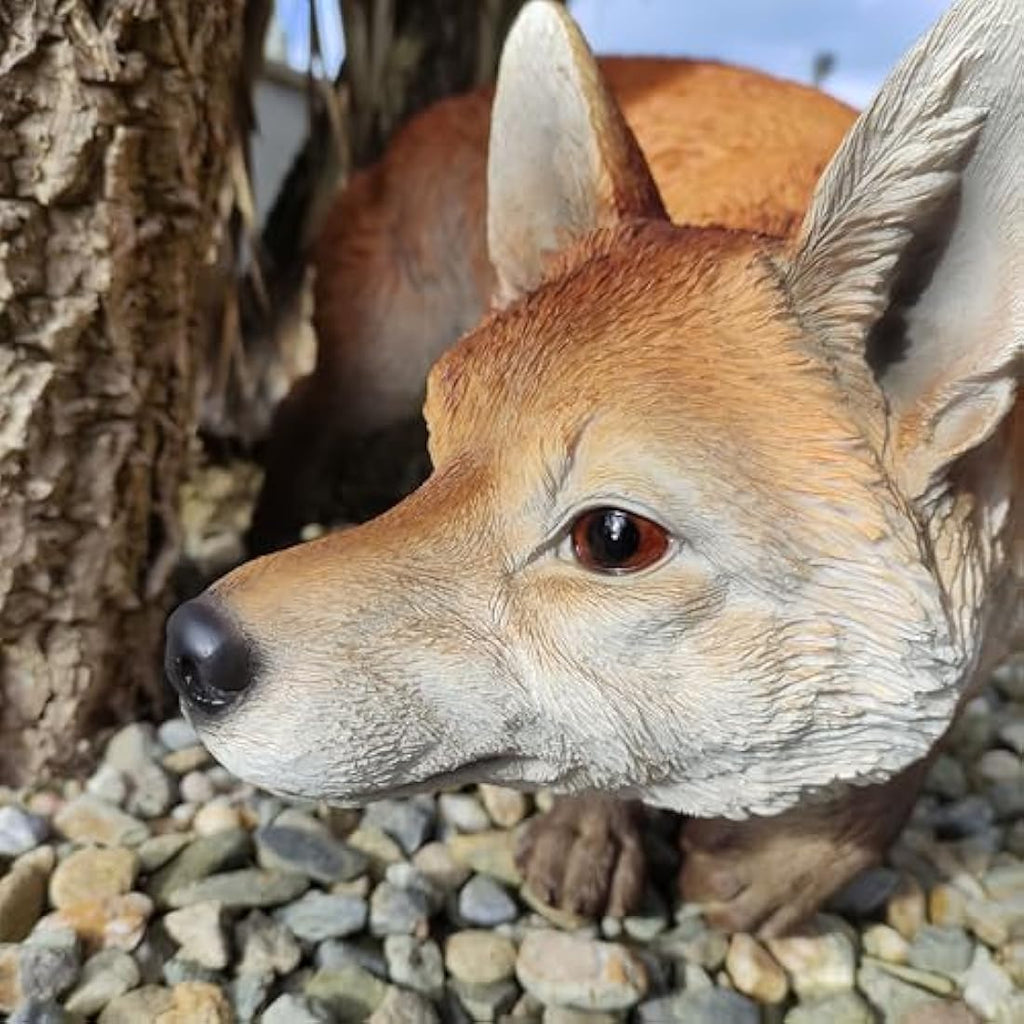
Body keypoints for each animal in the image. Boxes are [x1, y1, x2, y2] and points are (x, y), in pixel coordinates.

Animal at [168, 0, 1022, 938]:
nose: (191, 649)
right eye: (440, 451)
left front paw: (798, 866)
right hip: (377, 367)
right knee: (296, 414)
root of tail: (437, 108)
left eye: (614, 538)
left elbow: (918, 753)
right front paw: (592, 832)